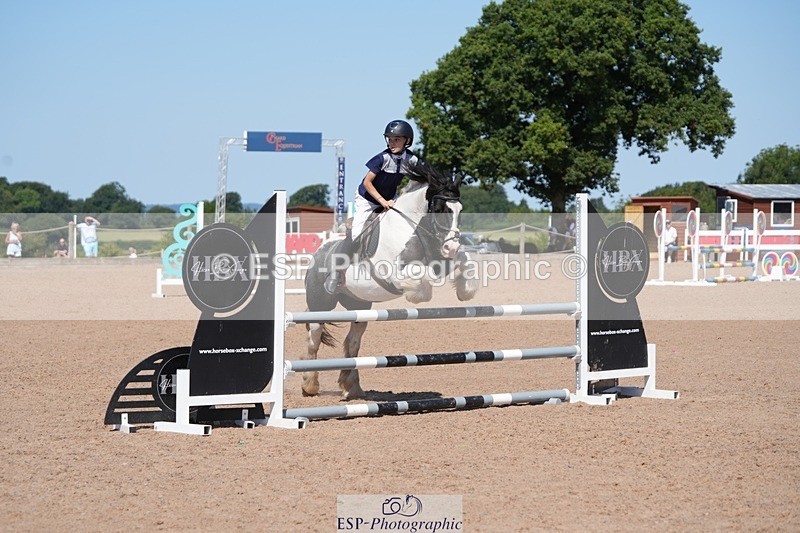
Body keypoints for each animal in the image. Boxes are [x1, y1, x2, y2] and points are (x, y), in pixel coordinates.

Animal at [301, 163, 480, 399]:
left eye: (460, 209)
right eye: (440, 209)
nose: (451, 247)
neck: (412, 227)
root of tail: (318, 253)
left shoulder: (441, 259)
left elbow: (464, 260)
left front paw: (465, 290)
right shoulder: (394, 273)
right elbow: (422, 282)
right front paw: (415, 295)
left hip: (359, 307)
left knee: (352, 343)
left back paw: (352, 388)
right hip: (320, 304)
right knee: (314, 338)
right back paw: (309, 385)